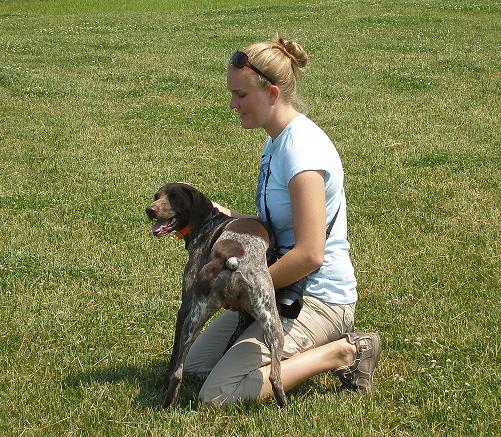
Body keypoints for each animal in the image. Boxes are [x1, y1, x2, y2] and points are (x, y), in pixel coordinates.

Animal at [146, 182, 286, 408]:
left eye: (174, 197)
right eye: (156, 196)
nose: (150, 210)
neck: (208, 223)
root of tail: (229, 258)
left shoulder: (185, 306)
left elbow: (173, 356)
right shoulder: (243, 314)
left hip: (196, 318)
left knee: (177, 372)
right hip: (272, 322)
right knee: (275, 375)